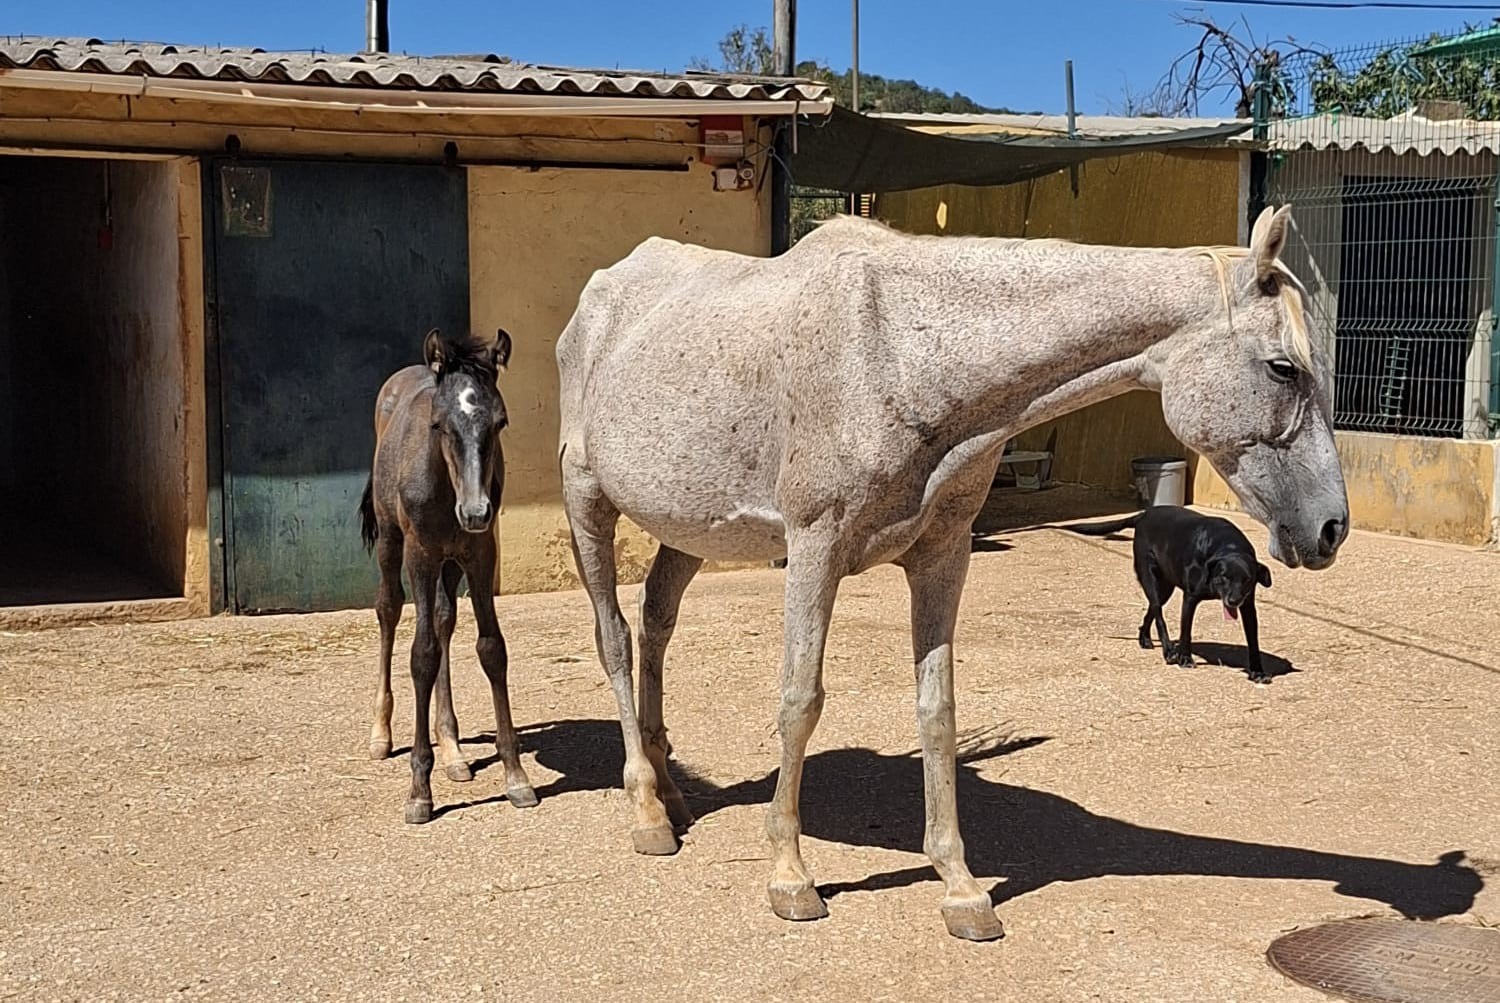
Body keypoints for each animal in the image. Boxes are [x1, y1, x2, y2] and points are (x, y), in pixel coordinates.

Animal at [359, 327, 536, 823]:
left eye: (500, 423)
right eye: (438, 425)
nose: (475, 511)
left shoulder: (479, 553)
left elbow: (491, 649)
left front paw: (516, 777)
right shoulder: (420, 554)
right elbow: (421, 655)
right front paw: (419, 790)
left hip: (451, 562)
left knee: (442, 619)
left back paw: (453, 749)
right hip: (392, 542)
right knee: (388, 610)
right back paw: (381, 734)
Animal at [554, 205, 1349, 941]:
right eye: (1284, 367)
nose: (1329, 528)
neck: (900, 353)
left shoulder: (943, 555)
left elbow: (937, 710)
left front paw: (961, 887)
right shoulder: (814, 549)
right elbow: (799, 701)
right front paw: (790, 875)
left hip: (686, 528)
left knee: (656, 624)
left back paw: (672, 788)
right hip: (587, 500)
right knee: (614, 638)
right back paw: (646, 808)